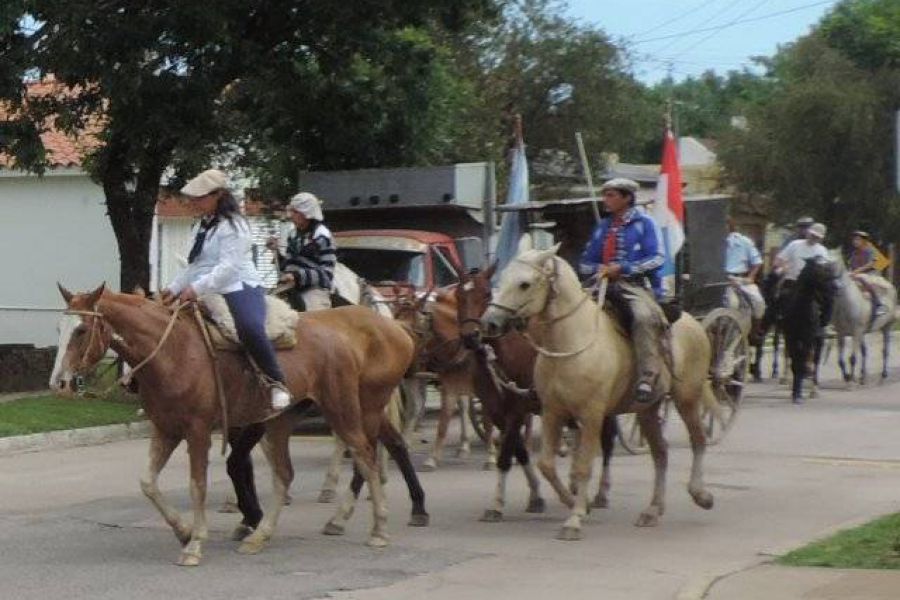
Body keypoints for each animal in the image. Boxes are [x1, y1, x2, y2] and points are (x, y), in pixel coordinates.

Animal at [53, 284, 426, 564]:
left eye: (81, 330)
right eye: (59, 329)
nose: (59, 383)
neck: (173, 352)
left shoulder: (198, 431)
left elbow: (199, 484)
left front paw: (195, 544)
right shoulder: (166, 429)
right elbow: (148, 483)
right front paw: (184, 531)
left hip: (348, 410)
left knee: (365, 455)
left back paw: (378, 529)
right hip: (283, 422)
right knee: (286, 474)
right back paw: (262, 536)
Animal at [458, 264, 620, 516]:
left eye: (485, 293)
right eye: (457, 296)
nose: (471, 336)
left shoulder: (518, 410)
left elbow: (506, 454)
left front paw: (498, 504)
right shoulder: (497, 412)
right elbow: (518, 451)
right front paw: (535, 495)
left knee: (607, 440)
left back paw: (600, 492)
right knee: (580, 433)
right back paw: (575, 482)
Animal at [828, 256, 896, 384]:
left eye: (841, 269)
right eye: (825, 270)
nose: (835, 287)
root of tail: (890, 285)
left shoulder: (856, 331)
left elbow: (853, 358)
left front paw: (851, 378)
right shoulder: (841, 333)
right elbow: (840, 360)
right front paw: (847, 376)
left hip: (887, 326)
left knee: (885, 350)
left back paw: (884, 374)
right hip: (863, 332)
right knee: (865, 351)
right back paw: (863, 376)